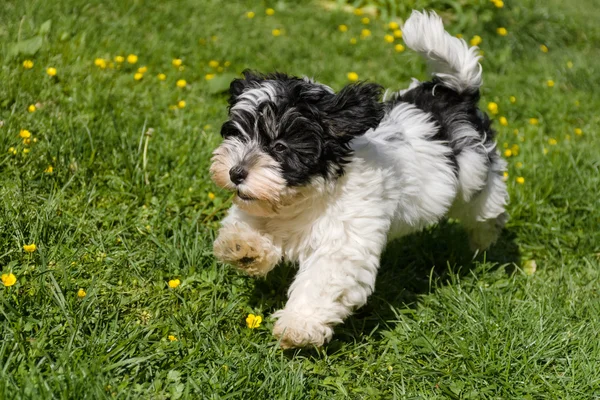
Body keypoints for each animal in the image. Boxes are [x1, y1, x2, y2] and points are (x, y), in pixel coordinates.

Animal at [210, 9, 506, 346]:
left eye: (280, 146)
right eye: (237, 134)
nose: (236, 173)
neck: (306, 194)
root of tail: (455, 93)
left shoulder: (343, 242)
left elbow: (322, 280)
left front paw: (299, 325)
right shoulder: (263, 205)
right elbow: (247, 220)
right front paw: (243, 246)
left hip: (474, 177)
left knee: (486, 207)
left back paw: (484, 238)